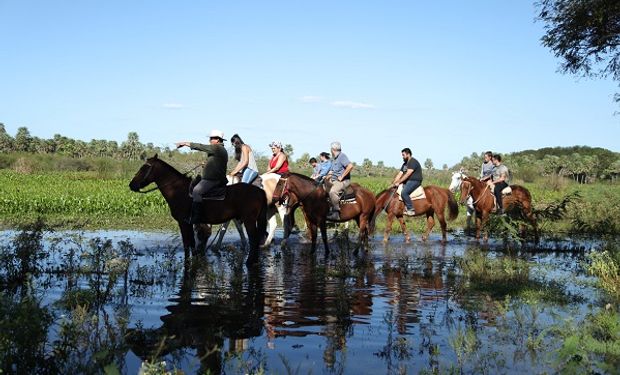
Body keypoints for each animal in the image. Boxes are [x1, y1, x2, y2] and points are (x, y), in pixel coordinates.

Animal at [130, 154, 268, 266]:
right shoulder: (189, 224)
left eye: (144, 168)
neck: (178, 190)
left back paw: (250, 262)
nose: (131, 185)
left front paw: (187, 263)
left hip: (249, 220)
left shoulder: (183, 222)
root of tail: (259, 191)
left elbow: (187, 243)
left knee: (254, 239)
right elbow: (191, 243)